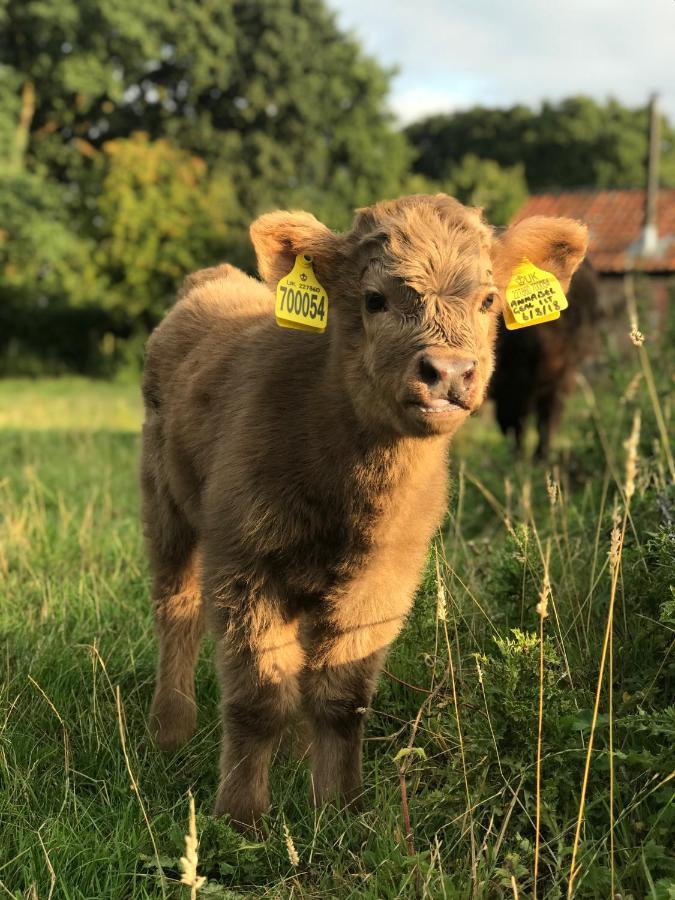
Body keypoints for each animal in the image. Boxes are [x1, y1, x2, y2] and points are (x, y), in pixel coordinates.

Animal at [141, 193, 588, 828]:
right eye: (376, 299)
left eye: (487, 300)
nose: (448, 372)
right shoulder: (243, 561)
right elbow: (258, 697)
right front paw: (240, 817)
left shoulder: (383, 580)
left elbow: (339, 695)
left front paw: (338, 809)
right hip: (166, 506)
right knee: (176, 610)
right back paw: (171, 730)